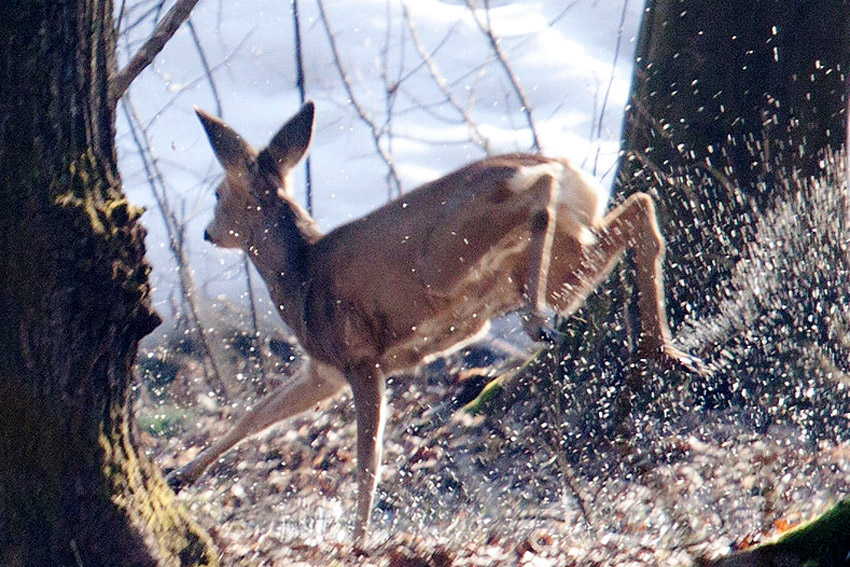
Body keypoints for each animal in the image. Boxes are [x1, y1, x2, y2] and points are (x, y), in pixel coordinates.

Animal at [167, 101, 704, 544]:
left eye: (217, 192)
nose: (207, 233)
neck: (299, 275)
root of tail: (564, 168)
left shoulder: (358, 357)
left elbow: (368, 460)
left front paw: (358, 540)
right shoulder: (324, 369)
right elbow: (255, 415)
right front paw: (180, 477)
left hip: (447, 257)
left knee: (544, 197)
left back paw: (542, 319)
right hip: (563, 266)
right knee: (640, 208)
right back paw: (666, 352)